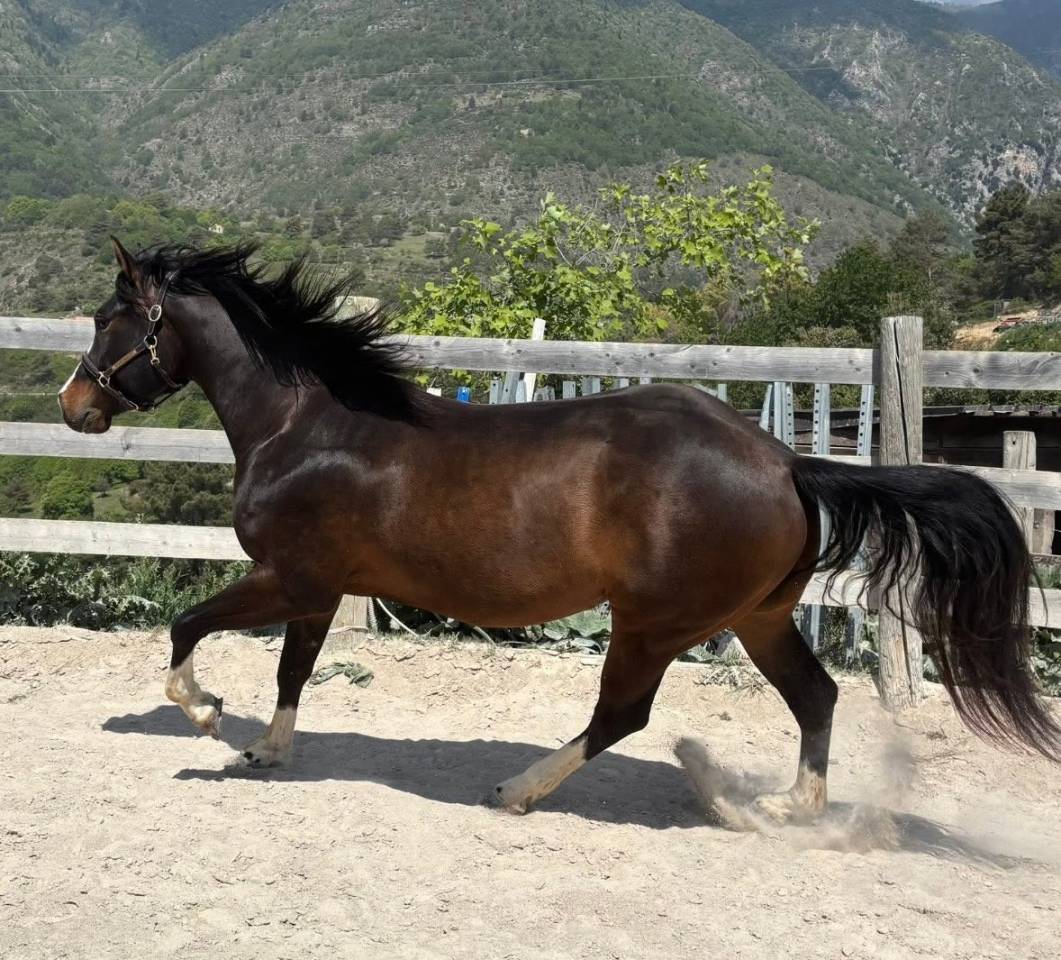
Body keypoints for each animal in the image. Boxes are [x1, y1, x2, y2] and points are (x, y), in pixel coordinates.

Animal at [58, 238, 1058, 822]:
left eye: (110, 319)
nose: (74, 406)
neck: (304, 427)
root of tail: (784, 462)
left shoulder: (291, 577)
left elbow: (186, 628)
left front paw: (205, 718)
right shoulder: (319, 589)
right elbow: (293, 672)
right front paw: (264, 749)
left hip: (654, 622)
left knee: (624, 713)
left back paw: (516, 790)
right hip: (756, 617)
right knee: (814, 697)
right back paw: (790, 808)